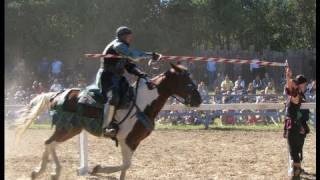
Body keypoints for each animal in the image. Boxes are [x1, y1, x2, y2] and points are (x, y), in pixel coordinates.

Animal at [14, 62, 202, 179]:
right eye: (185, 80)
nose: (198, 99)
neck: (142, 103)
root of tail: (57, 94)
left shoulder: (134, 142)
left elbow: (125, 167)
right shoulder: (127, 140)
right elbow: (126, 164)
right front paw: (97, 168)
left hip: (70, 129)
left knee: (49, 143)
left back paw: (42, 172)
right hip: (67, 128)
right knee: (50, 143)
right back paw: (51, 172)